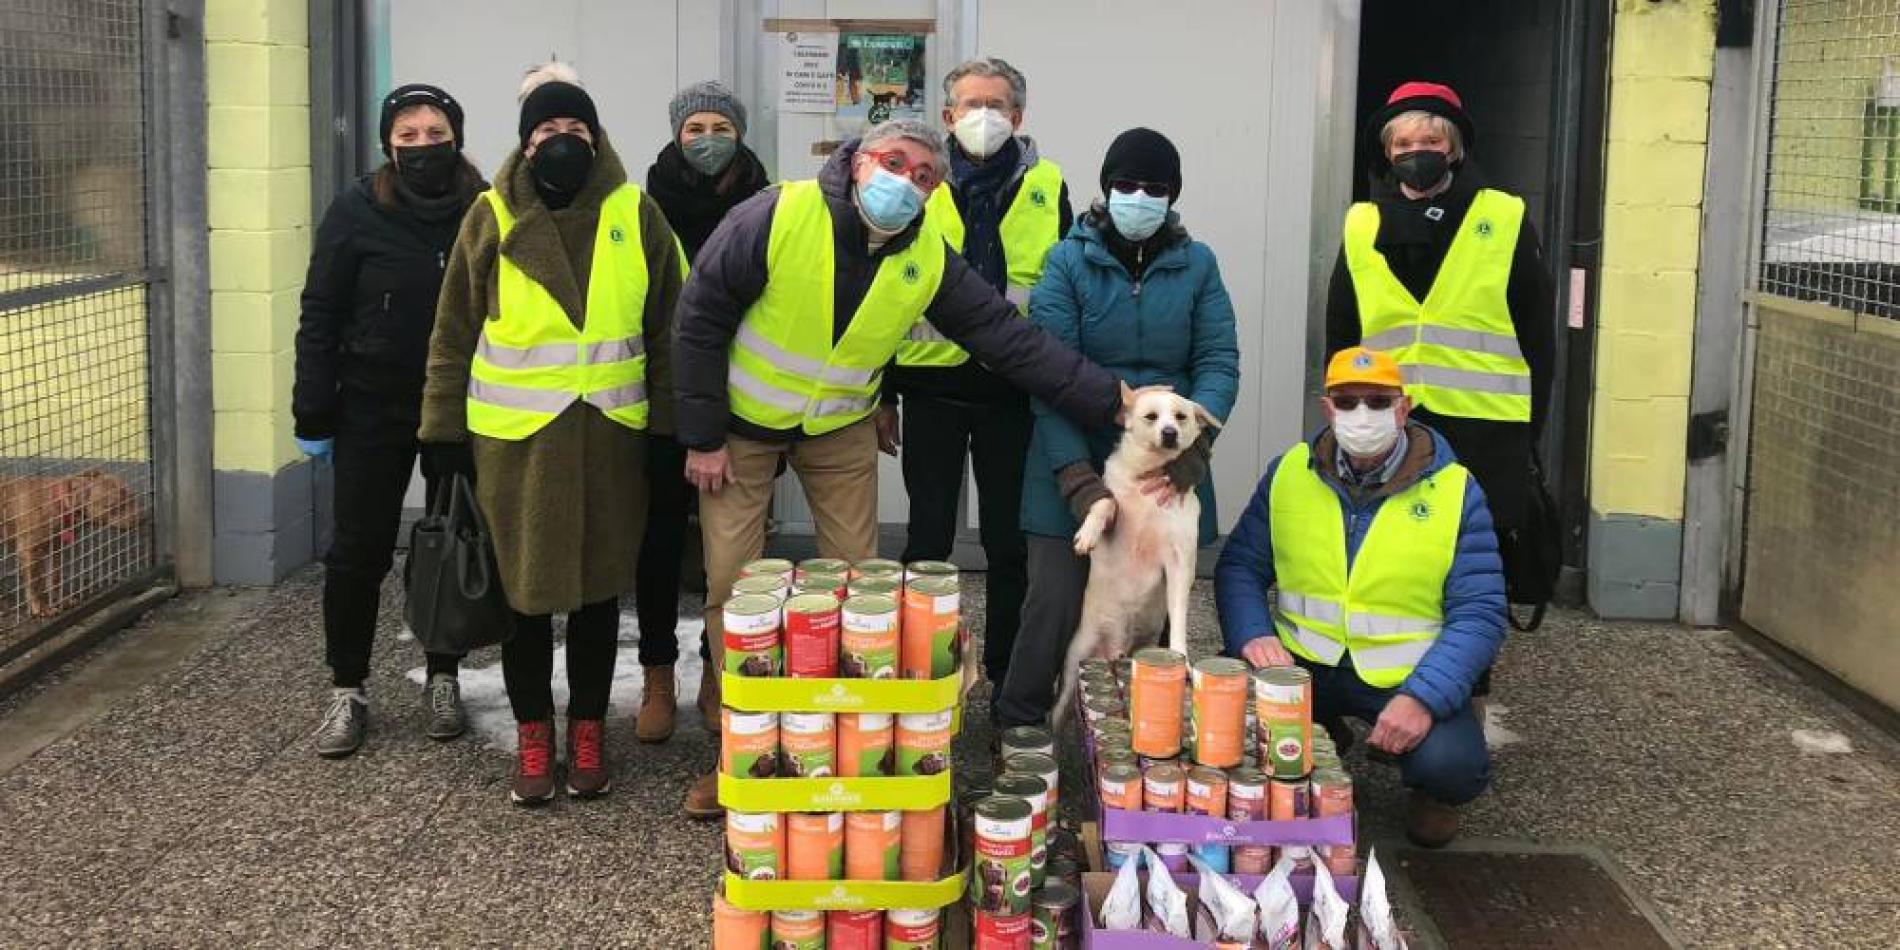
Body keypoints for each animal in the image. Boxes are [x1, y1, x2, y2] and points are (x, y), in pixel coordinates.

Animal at [1056, 387, 1216, 725]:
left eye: (1181, 417)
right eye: (1151, 417)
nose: (1169, 433)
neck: (1147, 475)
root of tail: (1114, 650)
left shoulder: (1180, 563)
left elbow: (1179, 618)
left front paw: (1181, 658)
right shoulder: (1112, 506)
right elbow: (1105, 503)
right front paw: (1086, 536)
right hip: (1074, 665)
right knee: (1056, 713)